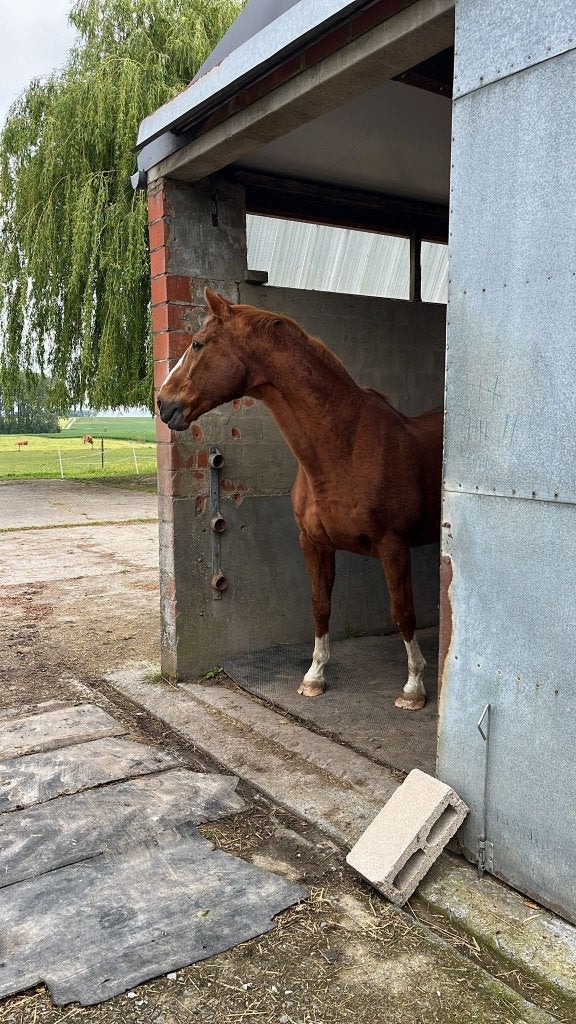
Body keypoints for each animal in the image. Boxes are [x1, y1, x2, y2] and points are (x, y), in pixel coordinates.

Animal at [157, 288, 443, 711]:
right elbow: (320, 607)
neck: (346, 447)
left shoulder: (394, 547)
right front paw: (314, 677)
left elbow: (403, 612)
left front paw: (413, 688)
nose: (163, 404)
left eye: (198, 343)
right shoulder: (314, 543)